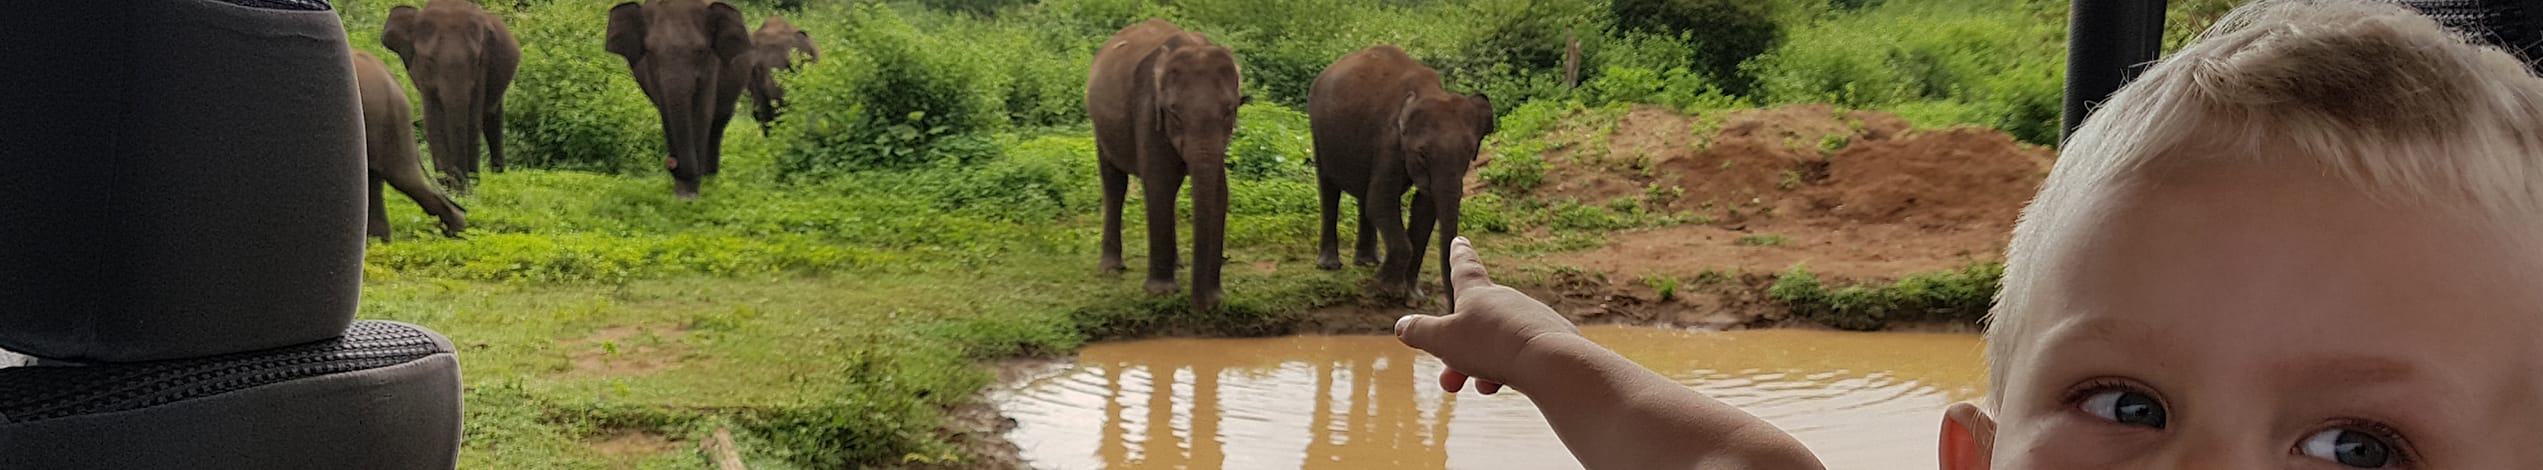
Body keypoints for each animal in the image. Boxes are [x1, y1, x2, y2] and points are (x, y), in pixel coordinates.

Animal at [378, 0, 518, 194]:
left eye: (476, 60)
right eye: (429, 60)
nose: (461, 184)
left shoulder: (483, 67)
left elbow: (472, 119)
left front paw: (467, 189)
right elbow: (433, 119)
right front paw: (448, 188)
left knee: (492, 119)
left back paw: (498, 176)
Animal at [607, 0, 747, 199]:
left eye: (700, 51)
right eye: (650, 51)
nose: (672, 162)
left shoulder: (712, 65)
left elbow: (703, 113)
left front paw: (690, 195)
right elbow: (667, 113)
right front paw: (683, 192)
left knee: (718, 122)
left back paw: (710, 179)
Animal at [1083, 19, 1240, 312]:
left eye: (1229, 110)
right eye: (1174, 111)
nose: (1201, 304)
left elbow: (1219, 192)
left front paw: (1217, 296)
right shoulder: (1147, 108)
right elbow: (1158, 182)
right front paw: (1161, 293)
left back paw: (1177, 264)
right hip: (1100, 127)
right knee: (1114, 183)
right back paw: (1111, 268)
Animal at [1312, 44, 1485, 308]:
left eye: (1469, 152)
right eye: (1422, 154)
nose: (1452, 309)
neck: (1427, 91)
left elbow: (1424, 209)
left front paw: (1413, 297)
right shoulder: (1390, 142)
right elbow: (1381, 202)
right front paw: (1386, 288)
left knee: (1364, 193)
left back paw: (1367, 261)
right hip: (1318, 131)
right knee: (1329, 187)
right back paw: (1330, 265)